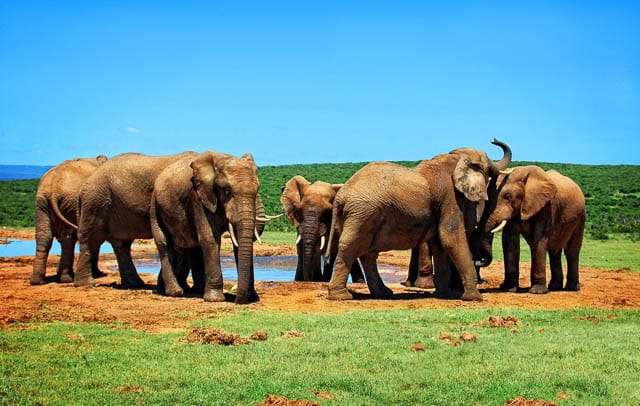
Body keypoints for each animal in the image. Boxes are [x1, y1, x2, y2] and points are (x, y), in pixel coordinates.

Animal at [29, 155, 107, 286]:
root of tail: (53, 187)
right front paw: (98, 274)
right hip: (69, 202)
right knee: (68, 238)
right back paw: (66, 279)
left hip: (42, 203)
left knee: (44, 236)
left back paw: (38, 281)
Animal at [73, 151, 195, 288]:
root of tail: (83, 187)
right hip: (97, 201)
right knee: (92, 238)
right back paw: (86, 284)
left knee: (121, 244)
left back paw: (134, 284)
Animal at [151, 151, 268, 302]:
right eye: (227, 191)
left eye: (257, 190)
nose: (237, 300)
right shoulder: (199, 196)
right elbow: (210, 238)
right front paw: (215, 299)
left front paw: (251, 298)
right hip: (154, 204)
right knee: (164, 243)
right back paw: (175, 292)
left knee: (189, 246)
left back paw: (197, 291)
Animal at [328, 140, 512, 302]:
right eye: (488, 169)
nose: (494, 140)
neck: (455, 158)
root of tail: (341, 196)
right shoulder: (450, 198)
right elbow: (451, 238)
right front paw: (474, 298)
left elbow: (440, 245)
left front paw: (445, 295)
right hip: (362, 213)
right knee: (351, 246)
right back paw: (341, 296)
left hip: (360, 215)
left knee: (368, 253)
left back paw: (383, 293)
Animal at [484, 166, 584, 294]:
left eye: (508, 197)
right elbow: (510, 241)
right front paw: (509, 289)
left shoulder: (546, 207)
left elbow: (538, 240)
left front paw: (537, 292)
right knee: (554, 252)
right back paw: (554, 287)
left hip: (580, 218)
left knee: (571, 252)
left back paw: (571, 289)